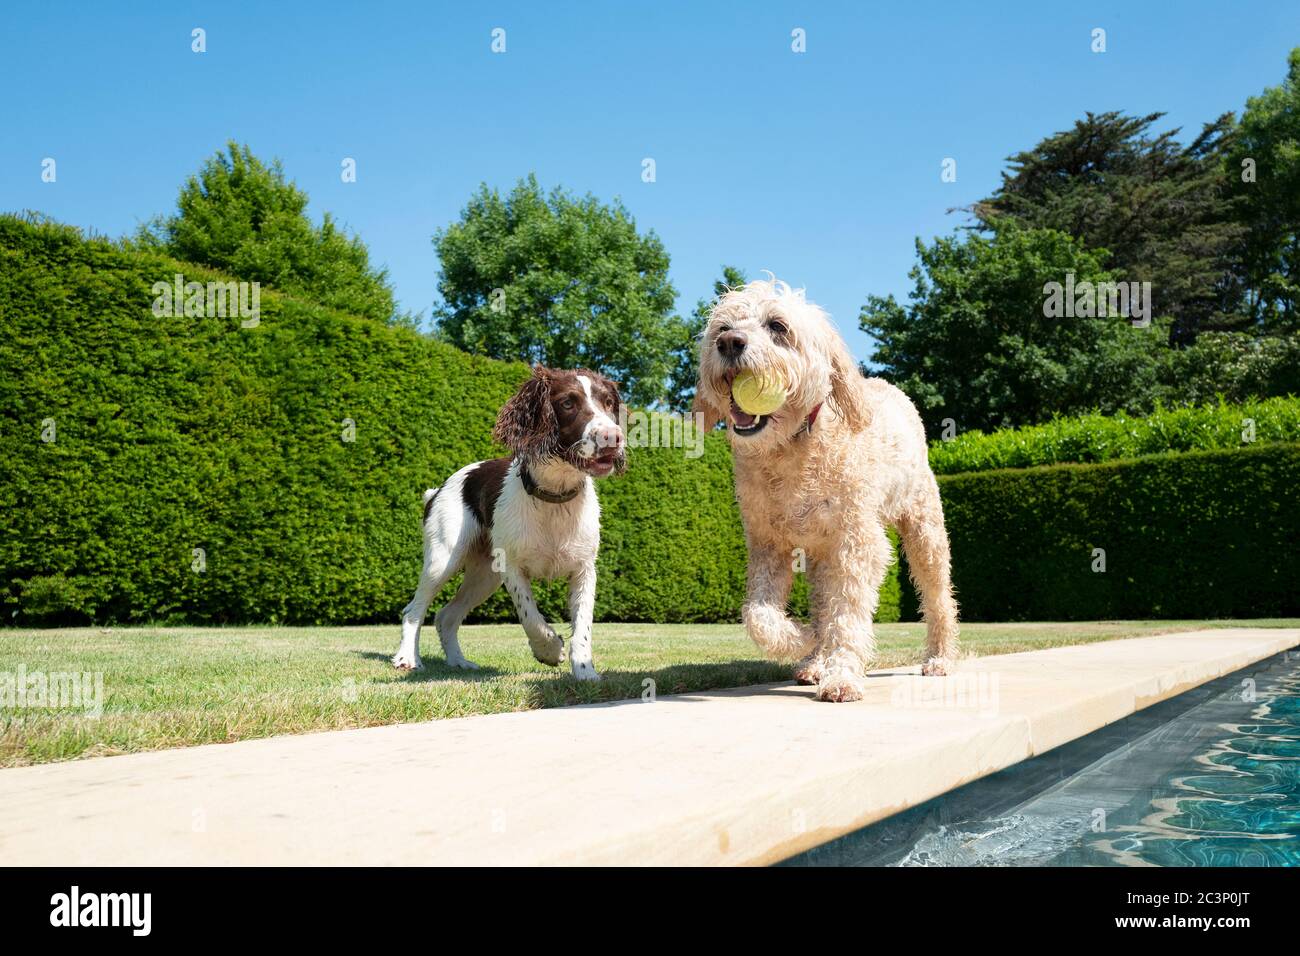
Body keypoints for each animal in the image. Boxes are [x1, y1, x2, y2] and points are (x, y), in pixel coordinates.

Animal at [696, 277, 961, 702]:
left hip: (925, 531)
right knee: (821, 602)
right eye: (722, 327)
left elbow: (848, 612)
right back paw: (814, 659)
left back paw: (940, 658)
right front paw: (802, 639)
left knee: (938, 597)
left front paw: (842, 676)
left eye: (777, 326)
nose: (730, 343)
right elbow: (758, 616)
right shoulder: (768, 545)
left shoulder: (857, 543)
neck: (793, 448)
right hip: (820, 556)